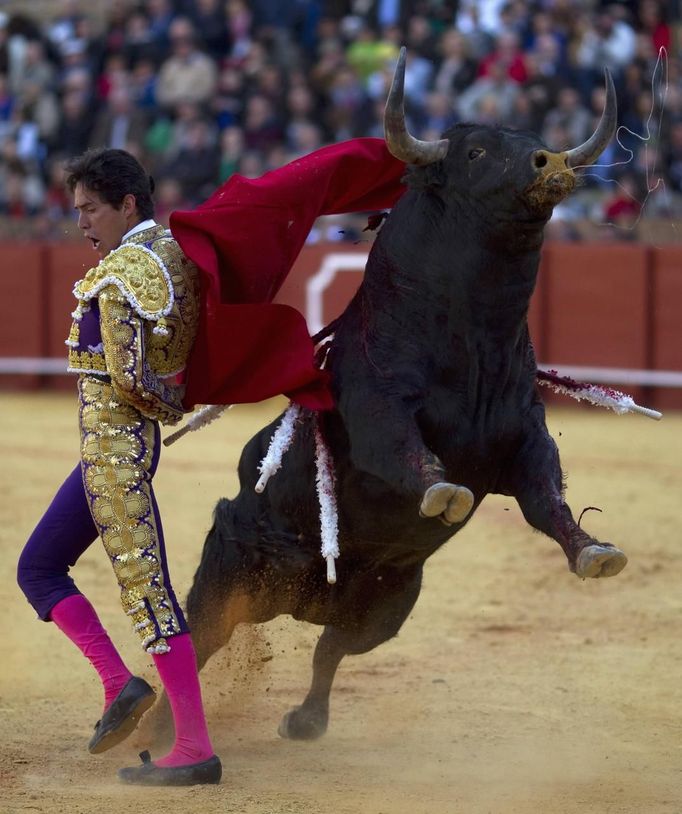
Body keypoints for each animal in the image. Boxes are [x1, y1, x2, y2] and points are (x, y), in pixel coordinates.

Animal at [181, 47, 620, 744]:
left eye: (534, 139)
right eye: (475, 151)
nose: (549, 163)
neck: (475, 343)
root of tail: (303, 597)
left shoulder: (525, 437)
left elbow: (547, 498)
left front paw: (595, 552)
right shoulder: (379, 410)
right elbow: (405, 451)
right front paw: (443, 493)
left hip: (386, 603)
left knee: (330, 648)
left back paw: (305, 720)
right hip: (229, 566)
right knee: (200, 638)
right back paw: (137, 729)